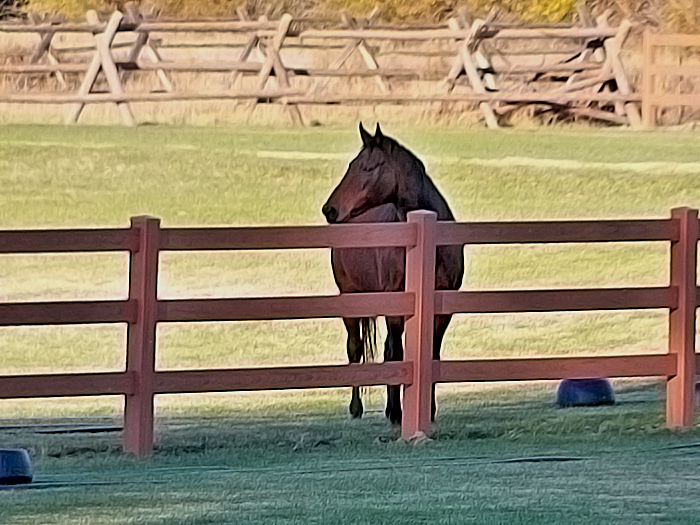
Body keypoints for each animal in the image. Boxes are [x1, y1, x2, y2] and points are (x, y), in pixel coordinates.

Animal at [322, 124, 464, 426]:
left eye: (367, 168)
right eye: (352, 165)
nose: (330, 209)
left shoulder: (443, 311)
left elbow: (431, 354)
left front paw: (428, 411)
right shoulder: (396, 310)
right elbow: (396, 354)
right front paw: (397, 412)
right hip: (351, 299)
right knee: (356, 348)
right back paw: (358, 408)